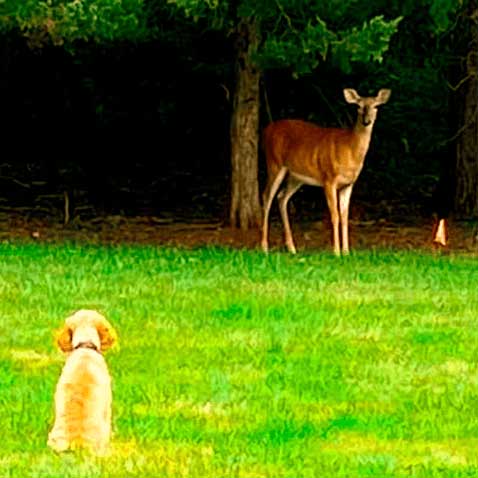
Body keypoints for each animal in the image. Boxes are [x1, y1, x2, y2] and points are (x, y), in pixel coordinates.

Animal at [262, 88, 392, 256]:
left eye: (376, 106)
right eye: (358, 106)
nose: (366, 121)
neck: (349, 149)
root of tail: (266, 130)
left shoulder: (348, 184)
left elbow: (345, 216)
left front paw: (346, 252)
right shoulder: (329, 178)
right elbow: (335, 215)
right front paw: (336, 252)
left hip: (296, 176)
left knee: (282, 197)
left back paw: (292, 248)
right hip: (274, 163)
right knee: (267, 196)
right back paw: (264, 247)